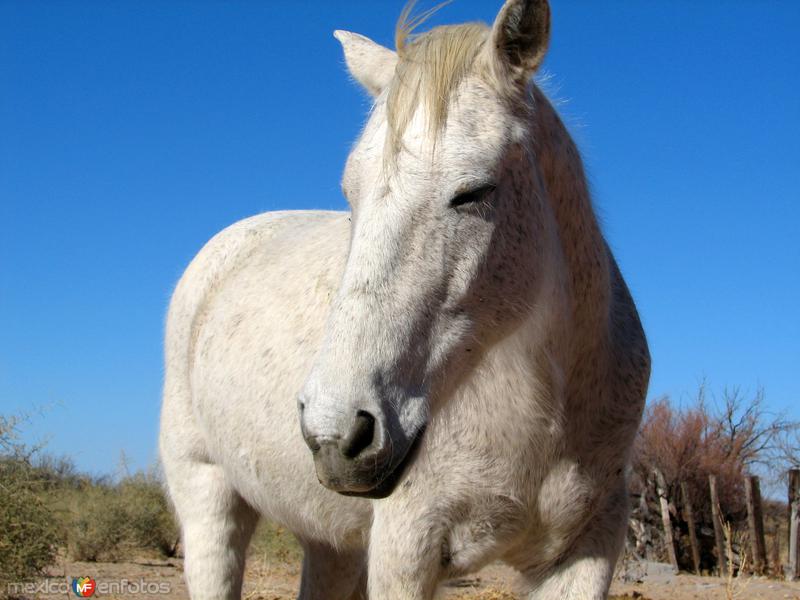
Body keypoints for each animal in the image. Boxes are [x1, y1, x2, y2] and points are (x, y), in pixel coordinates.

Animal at [159, 1, 650, 598]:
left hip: (330, 540)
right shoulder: (405, 547)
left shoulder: (586, 551)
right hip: (208, 498)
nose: (337, 432)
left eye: (474, 192)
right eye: (350, 192)